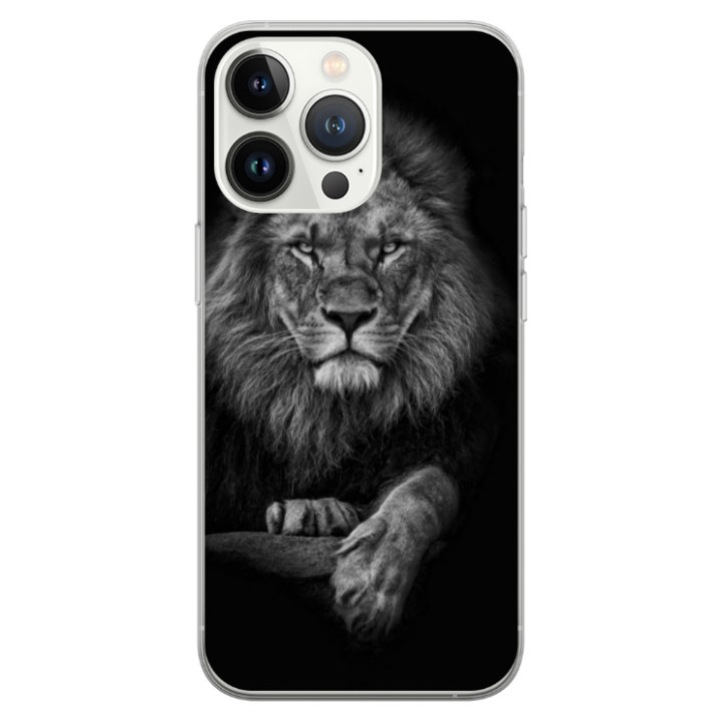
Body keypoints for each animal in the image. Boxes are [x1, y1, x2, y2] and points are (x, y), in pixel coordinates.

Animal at [205, 106, 509, 641]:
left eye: (389, 248)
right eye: (305, 249)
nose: (348, 316)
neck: (330, 415)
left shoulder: (462, 438)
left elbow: (426, 488)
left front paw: (371, 579)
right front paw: (310, 513)